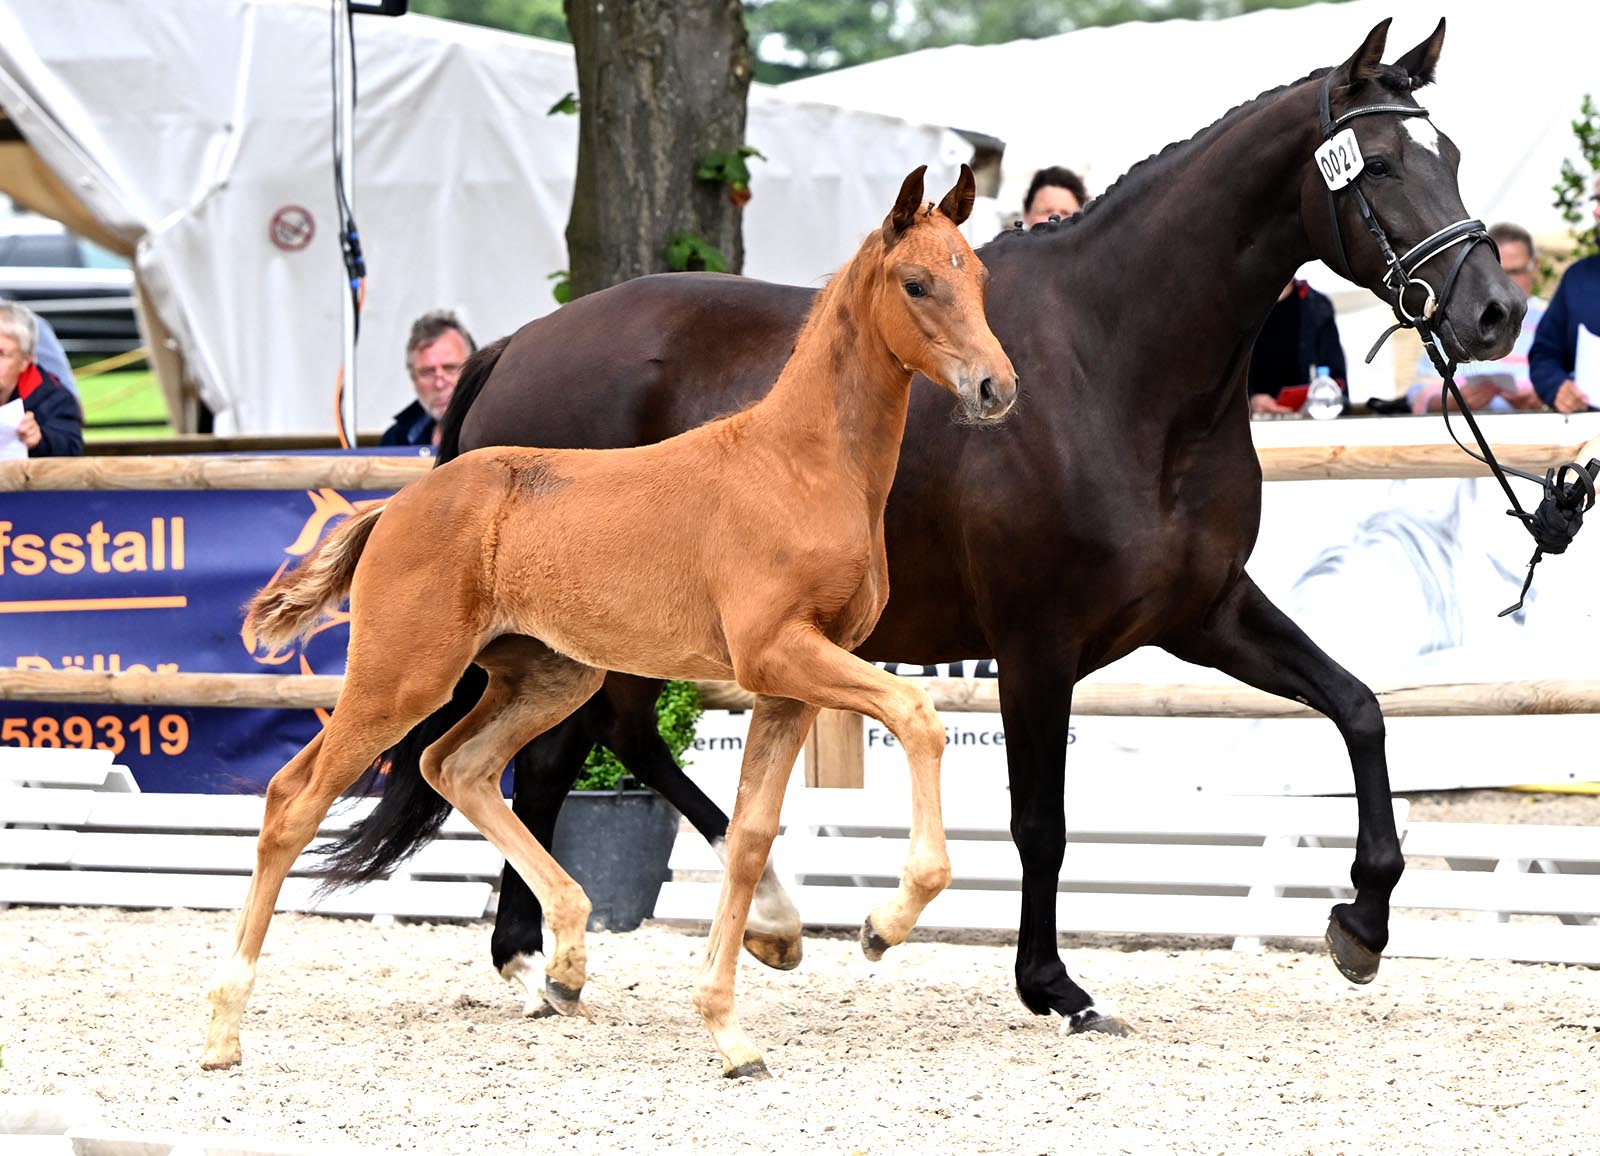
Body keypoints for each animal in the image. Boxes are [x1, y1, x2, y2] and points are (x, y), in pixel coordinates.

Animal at [203, 166, 1011, 1075]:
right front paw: (882, 926)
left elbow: (750, 834)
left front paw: (731, 1028)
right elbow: (917, 715)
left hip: (550, 675)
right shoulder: (778, 655)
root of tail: (397, 505)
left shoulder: (792, 681)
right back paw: (224, 1028)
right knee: (293, 799)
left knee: (459, 767)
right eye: (916, 283)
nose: (996, 387)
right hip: (401, 678)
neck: (799, 467)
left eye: (978, 278)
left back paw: (564, 958)